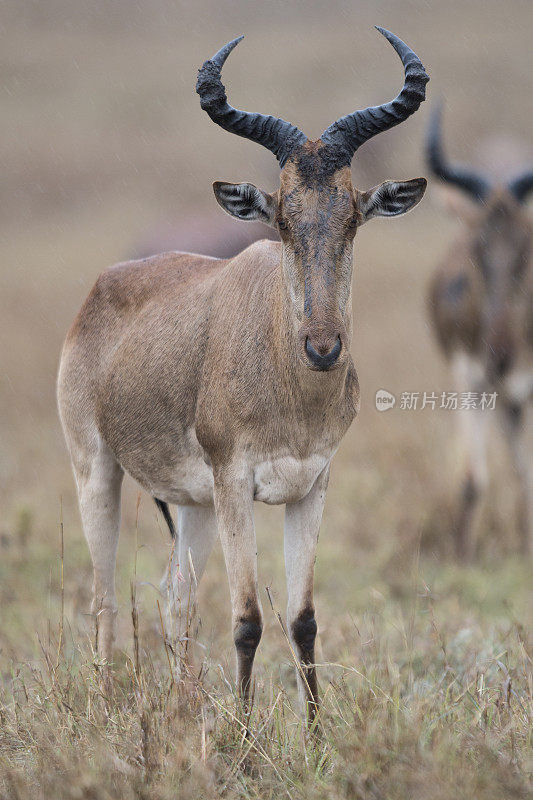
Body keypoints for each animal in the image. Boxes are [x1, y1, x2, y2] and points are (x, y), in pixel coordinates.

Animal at [56, 29, 426, 720]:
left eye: (352, 216)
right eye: (280, 216)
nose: (323, 348)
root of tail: (106, 283)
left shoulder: (311, 487)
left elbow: (303, 620)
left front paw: (315, 734)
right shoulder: (236, 485)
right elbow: (248, 619)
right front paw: (248, 737)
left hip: (192, 504)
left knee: (175, 595)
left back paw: (184, 710)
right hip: (97, 472)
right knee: (103, 596)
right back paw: (107, 702)